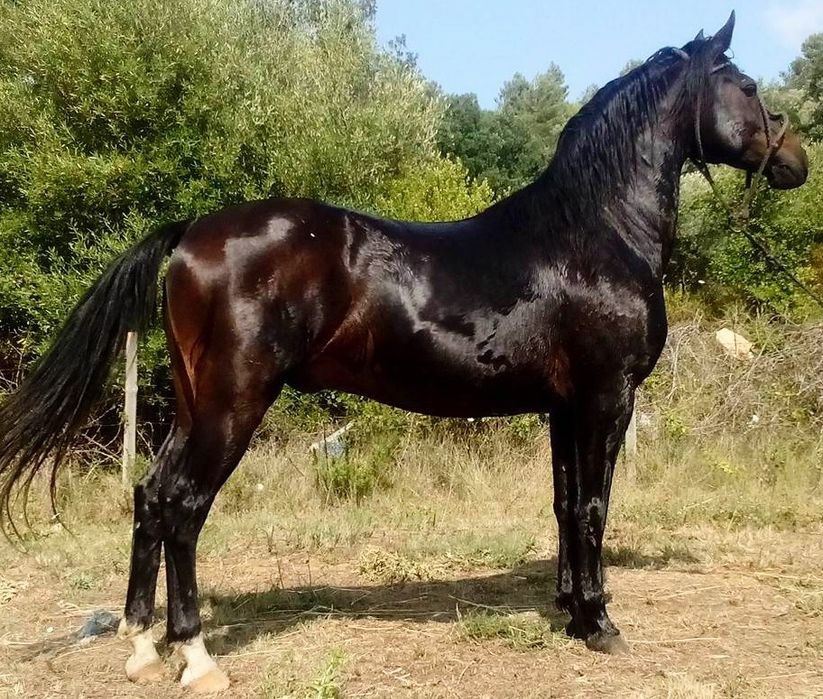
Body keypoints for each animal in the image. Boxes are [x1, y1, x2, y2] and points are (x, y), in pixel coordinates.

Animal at [0, 12, 808, 693]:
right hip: (233, 404)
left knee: (149, 497)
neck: (594, 231)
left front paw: (570, 611)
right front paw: (601, 623)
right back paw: (195, 656)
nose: (796, 160)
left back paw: (141, 644)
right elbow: (594, 505)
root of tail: (192, 232)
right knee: (183, 505)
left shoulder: (561, 408)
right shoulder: (607, 398)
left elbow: (562, 504)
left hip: (195, 403)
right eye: (745, 84)